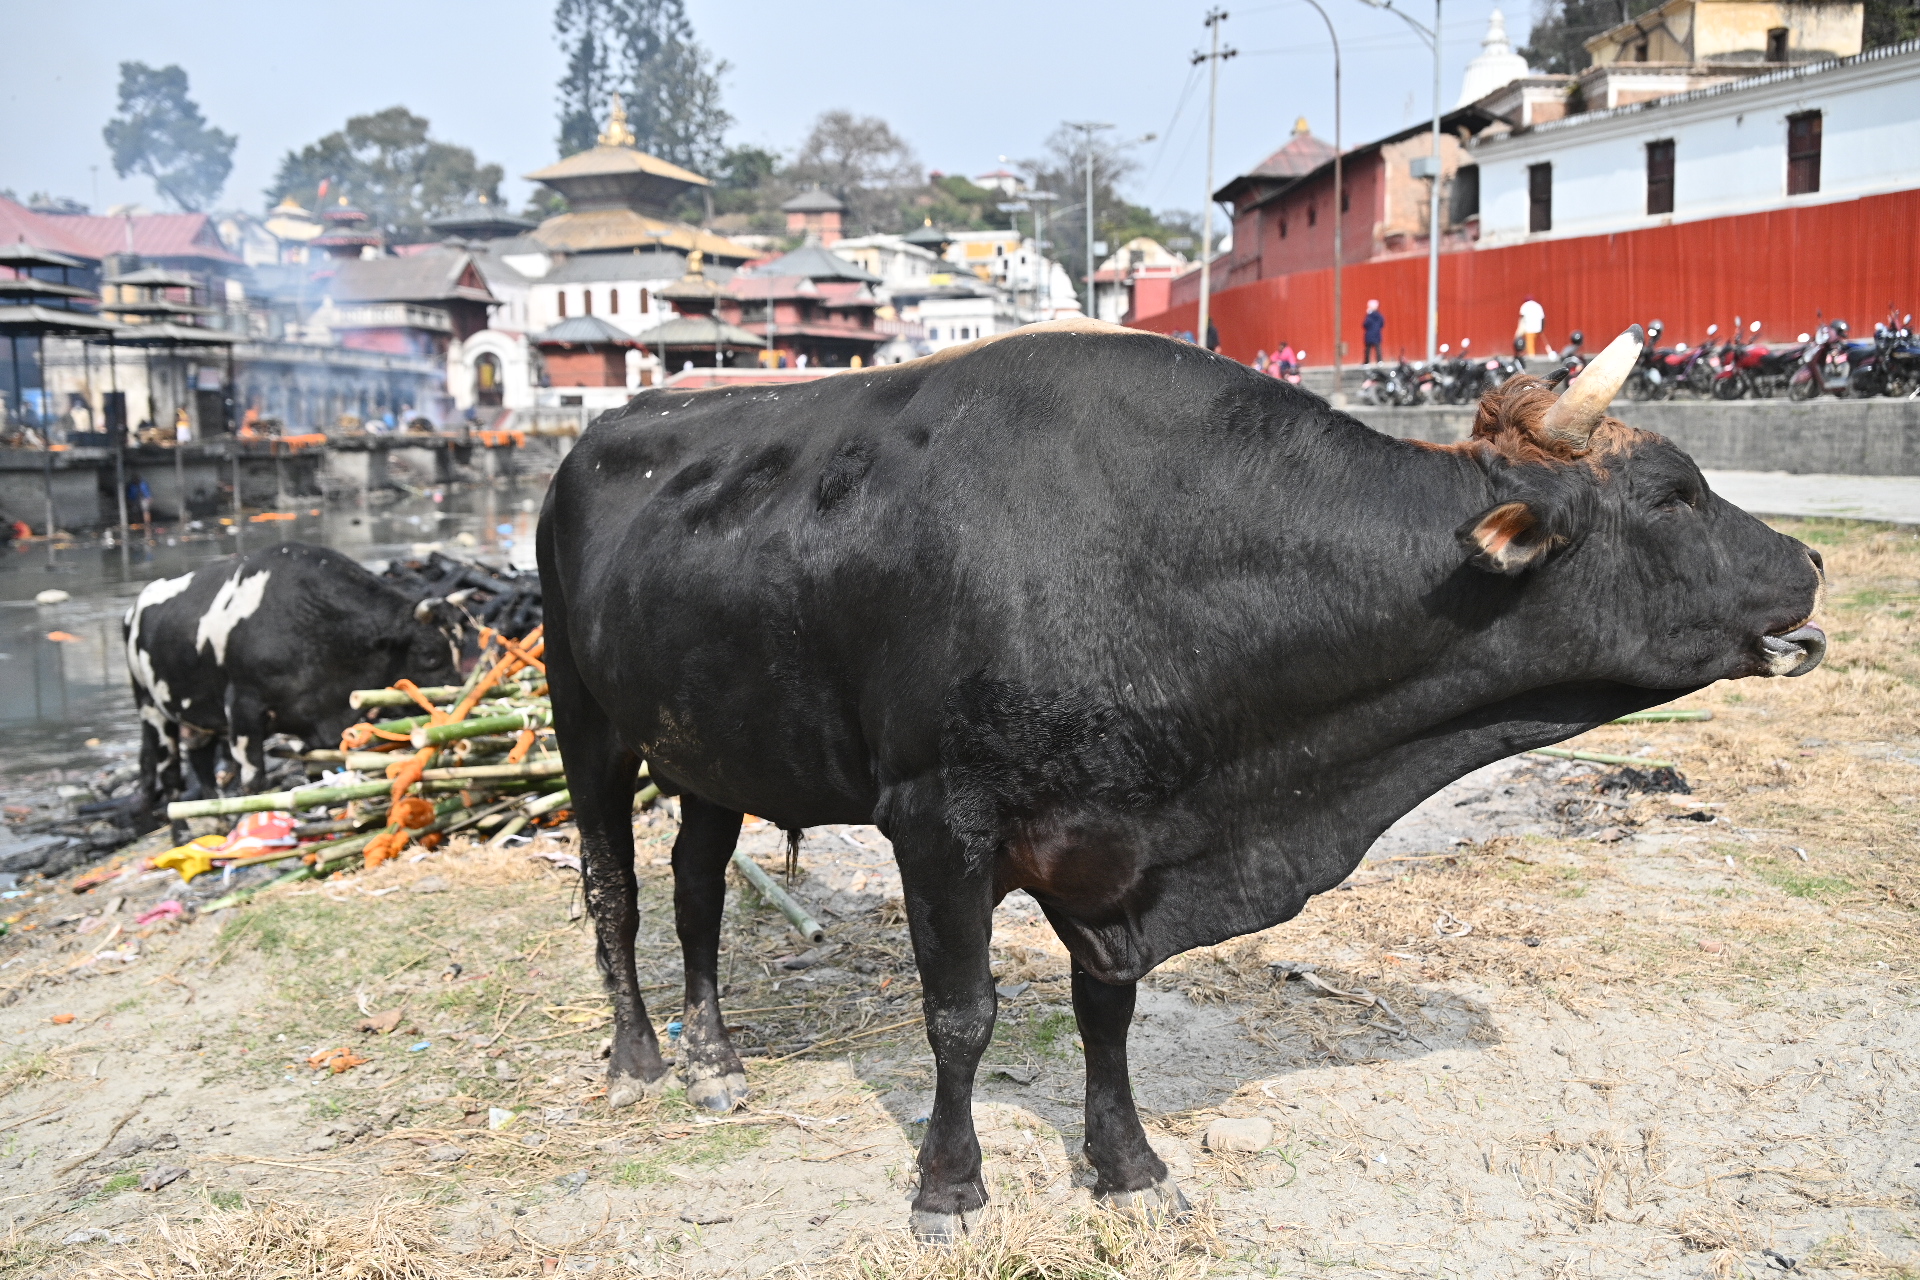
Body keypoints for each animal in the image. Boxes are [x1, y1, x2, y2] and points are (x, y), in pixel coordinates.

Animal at [126, 545, 460, 809]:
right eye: (430, 654)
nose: (456, 694)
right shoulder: (243, 708)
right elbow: (253, 778)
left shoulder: (318, 719)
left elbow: (319, 769)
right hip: (151, 709)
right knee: (164, 772)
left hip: (195, 718)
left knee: (201, 764)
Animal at [533, 322, 1820, 1243]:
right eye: (1675, 494)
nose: (1811, 557)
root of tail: (608, 427)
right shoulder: (935, 816)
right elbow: (962, 1012)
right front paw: (950, 1186)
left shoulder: (1120, 838)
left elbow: (1109, 1007)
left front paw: (1130, 1167)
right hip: (583, 714)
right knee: (615, 887)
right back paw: (641, 1059)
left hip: (712, 744)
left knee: (699, 883)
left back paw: (715, 1056)